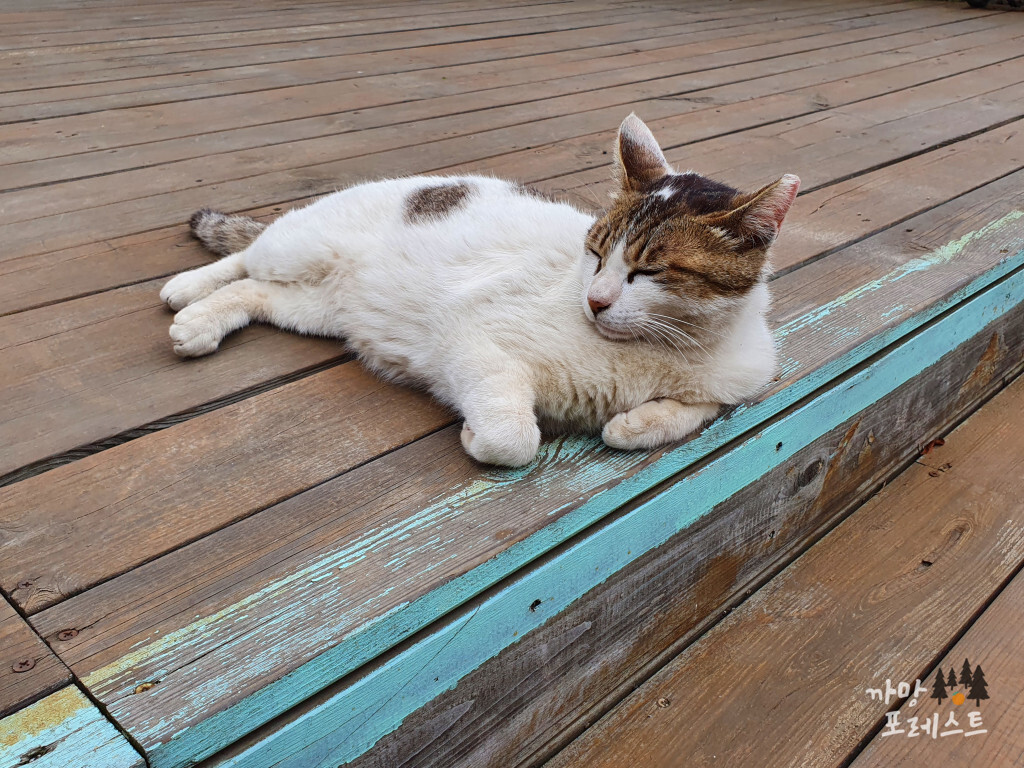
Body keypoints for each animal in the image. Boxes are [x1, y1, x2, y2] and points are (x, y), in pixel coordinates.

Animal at [161, 111, 798, 466]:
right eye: (595, 254)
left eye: (650, 272)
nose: (594, 301)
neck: (665, 352)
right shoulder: (475, 343)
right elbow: (515, 439)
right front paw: (477, 436)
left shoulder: (738, 381)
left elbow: (701, 410)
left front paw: (632, 425)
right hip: (299, 247)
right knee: (246, 255)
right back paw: (185, 292)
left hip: (318, 309)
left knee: (258, 293)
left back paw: (200, 324)